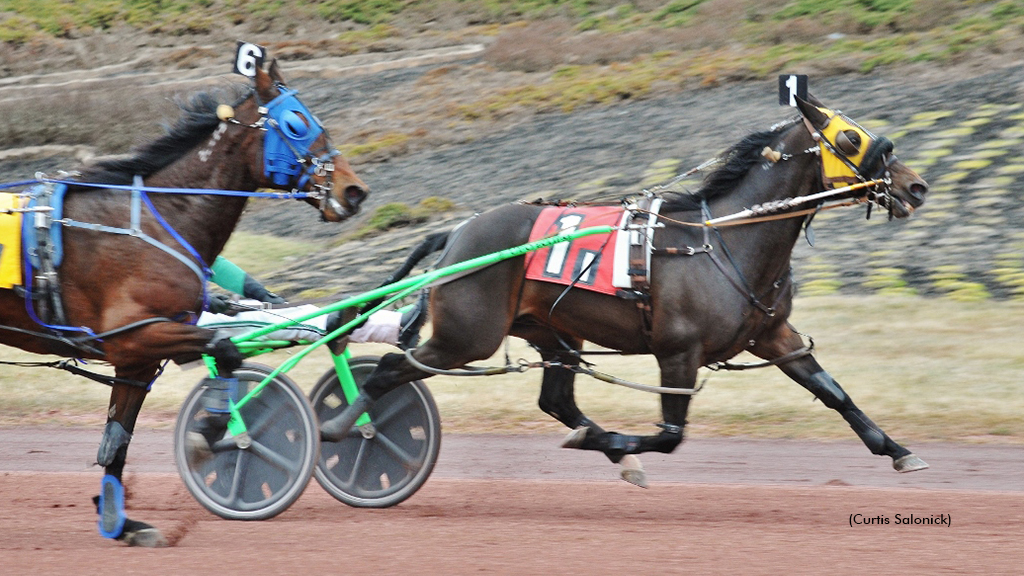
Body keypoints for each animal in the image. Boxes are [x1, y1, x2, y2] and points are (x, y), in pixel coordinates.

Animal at [0, 60, 368, 545]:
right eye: (297, 123)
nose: (353, 191)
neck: (155, 224)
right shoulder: (136, 335)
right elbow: (225, 350)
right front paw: (212, 430)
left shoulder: (136, 360)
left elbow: (116, 443)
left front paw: (121, 523)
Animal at [323, 94, 933, 483]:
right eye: (849, 136)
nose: (916, 186)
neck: (725, 240)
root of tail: (456, 233)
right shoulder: (678, 351)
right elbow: (669, 434)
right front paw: (621, 444)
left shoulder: (772, 334)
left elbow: (833, 392)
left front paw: (899, 450)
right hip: (466, 336)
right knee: (390, 369)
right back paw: (338, 429)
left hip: (554, 335)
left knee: (556, 401)